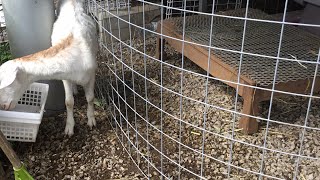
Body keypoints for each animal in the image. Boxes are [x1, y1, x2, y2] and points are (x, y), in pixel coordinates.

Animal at [0, 0, 97, 136]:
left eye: (4, 85)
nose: (3, 106)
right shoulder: (65, 77)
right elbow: (69, 102)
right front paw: (69, 128)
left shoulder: (92, 72)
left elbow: (90, 98)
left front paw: (91, 121)